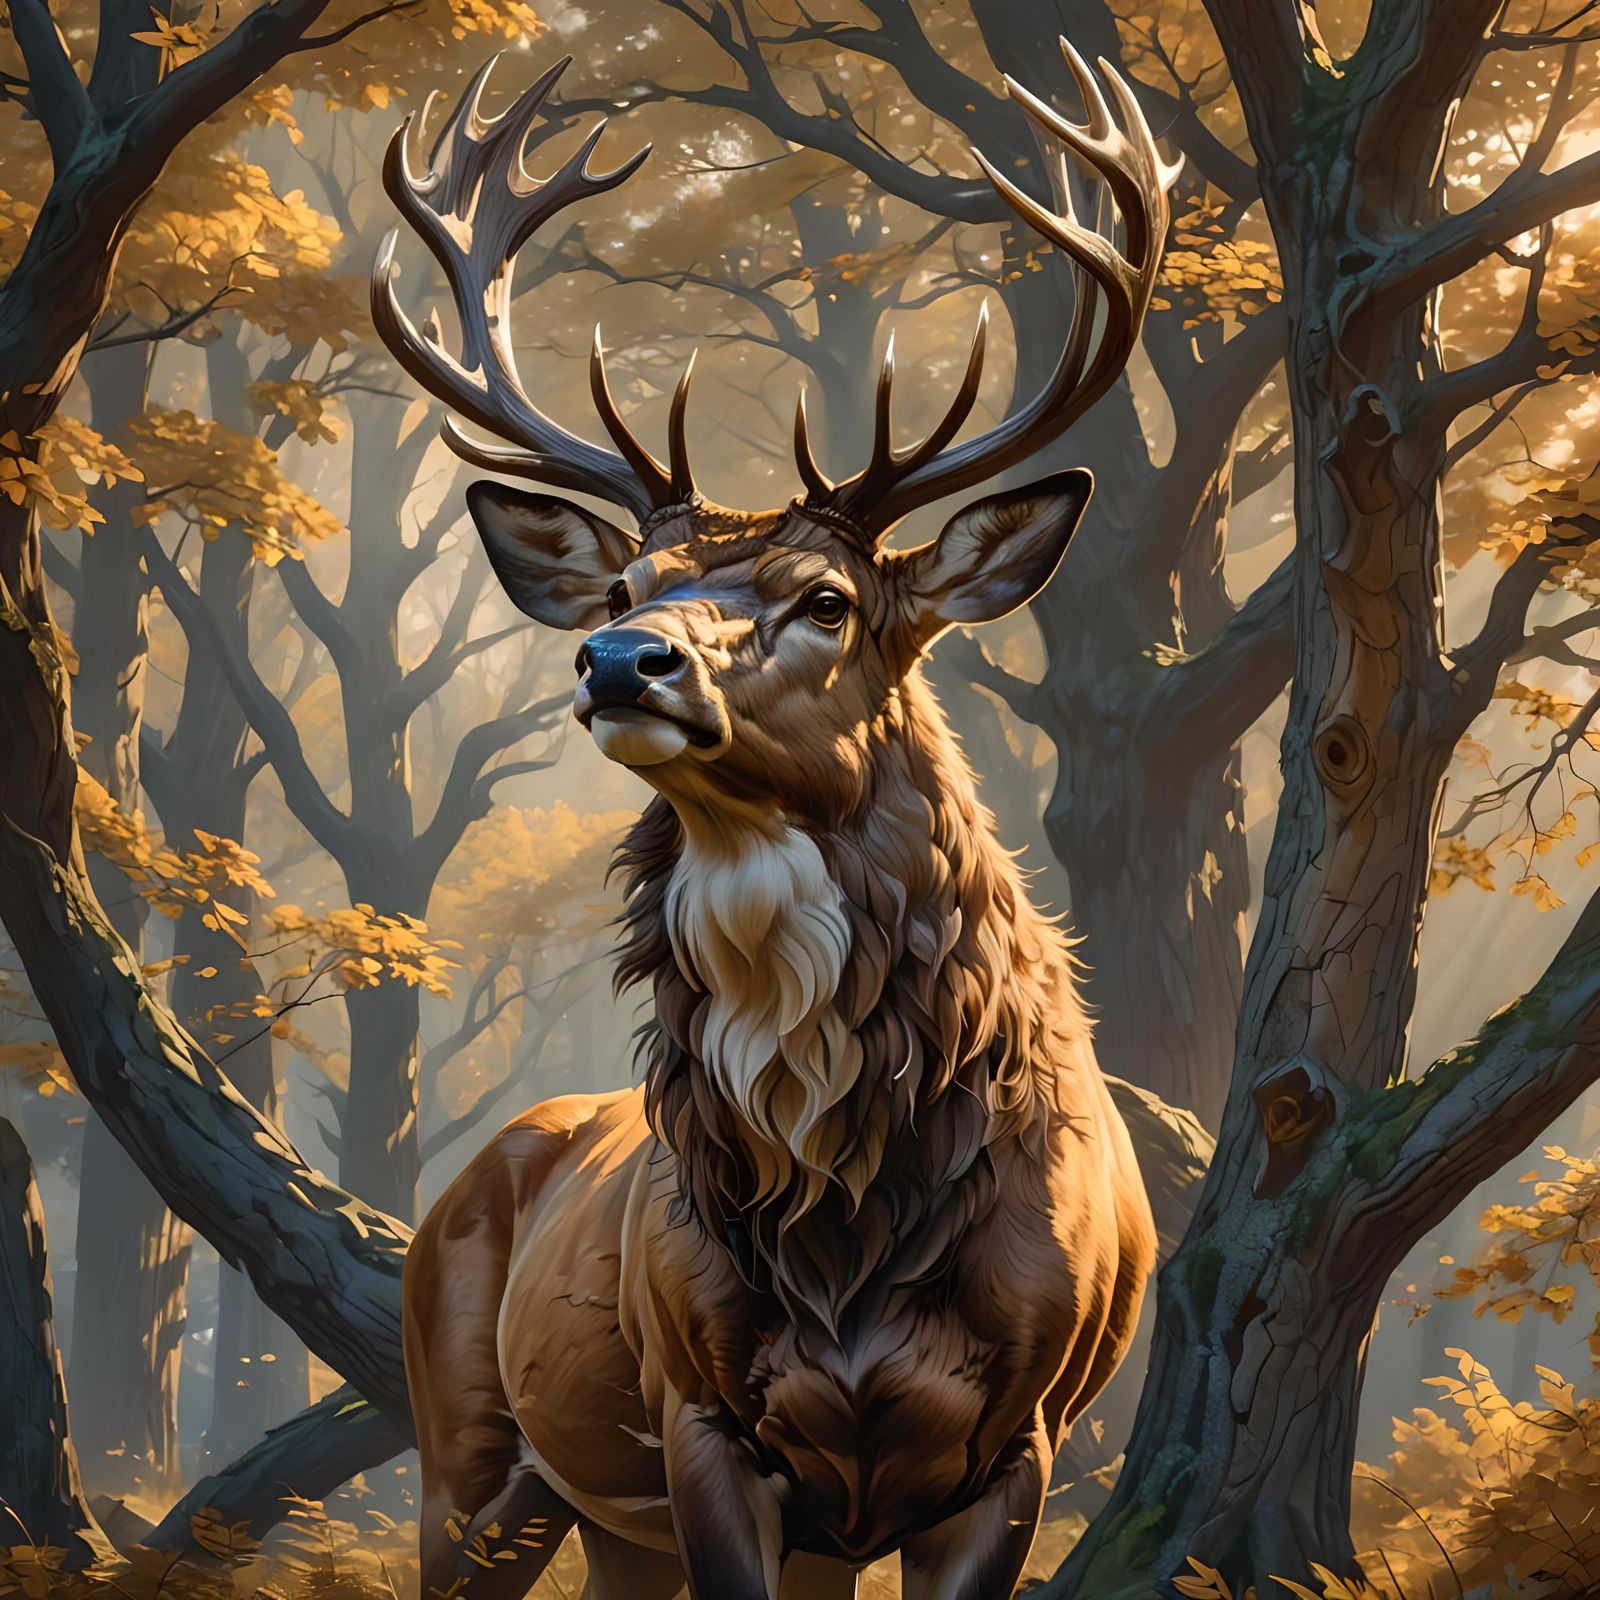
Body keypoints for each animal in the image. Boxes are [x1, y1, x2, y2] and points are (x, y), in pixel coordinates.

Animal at [372, 41, 1175, 1600]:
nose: (620, 661)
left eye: (828, 599)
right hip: (465, 1458)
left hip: (604, 1513)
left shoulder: (1021, 1439)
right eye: (626, 587)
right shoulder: (701, 1408)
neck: (845, 1228)